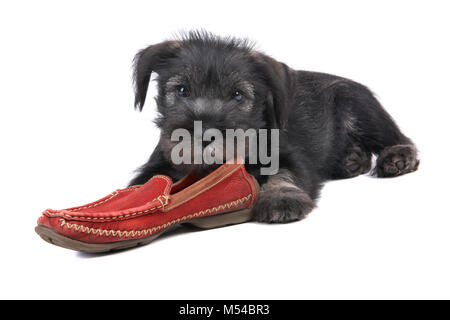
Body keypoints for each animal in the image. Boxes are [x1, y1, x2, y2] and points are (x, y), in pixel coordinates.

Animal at [128, 31, 420, 224]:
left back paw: (397, 157)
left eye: (237, 95)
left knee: (398, 136)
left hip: (359, 106)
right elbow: (149, 184)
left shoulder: (290, 158)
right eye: (182, 90)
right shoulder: (156, 165)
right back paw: (352, 159)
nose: (204, 134)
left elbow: (282, 174)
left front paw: (281, 199)